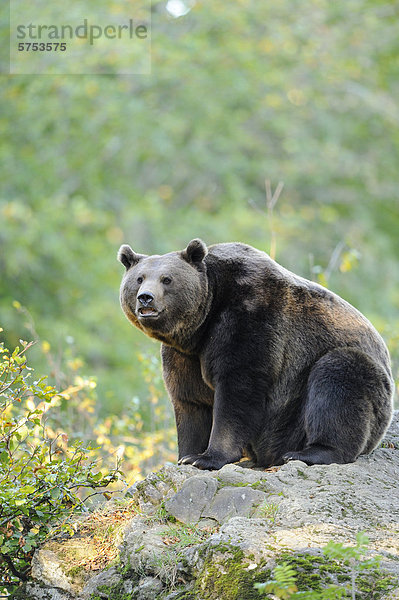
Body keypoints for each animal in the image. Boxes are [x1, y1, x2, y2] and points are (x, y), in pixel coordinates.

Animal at [117, 238, 396, 468]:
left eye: (167, 279)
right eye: (139, 278)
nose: (146, 298)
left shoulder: (250, 317)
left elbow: (237, 388)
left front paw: (208, 457)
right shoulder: (185, 354)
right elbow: (190, 399)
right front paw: (186, 455)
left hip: (317, 403)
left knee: (339, 378)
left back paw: (310, 452)